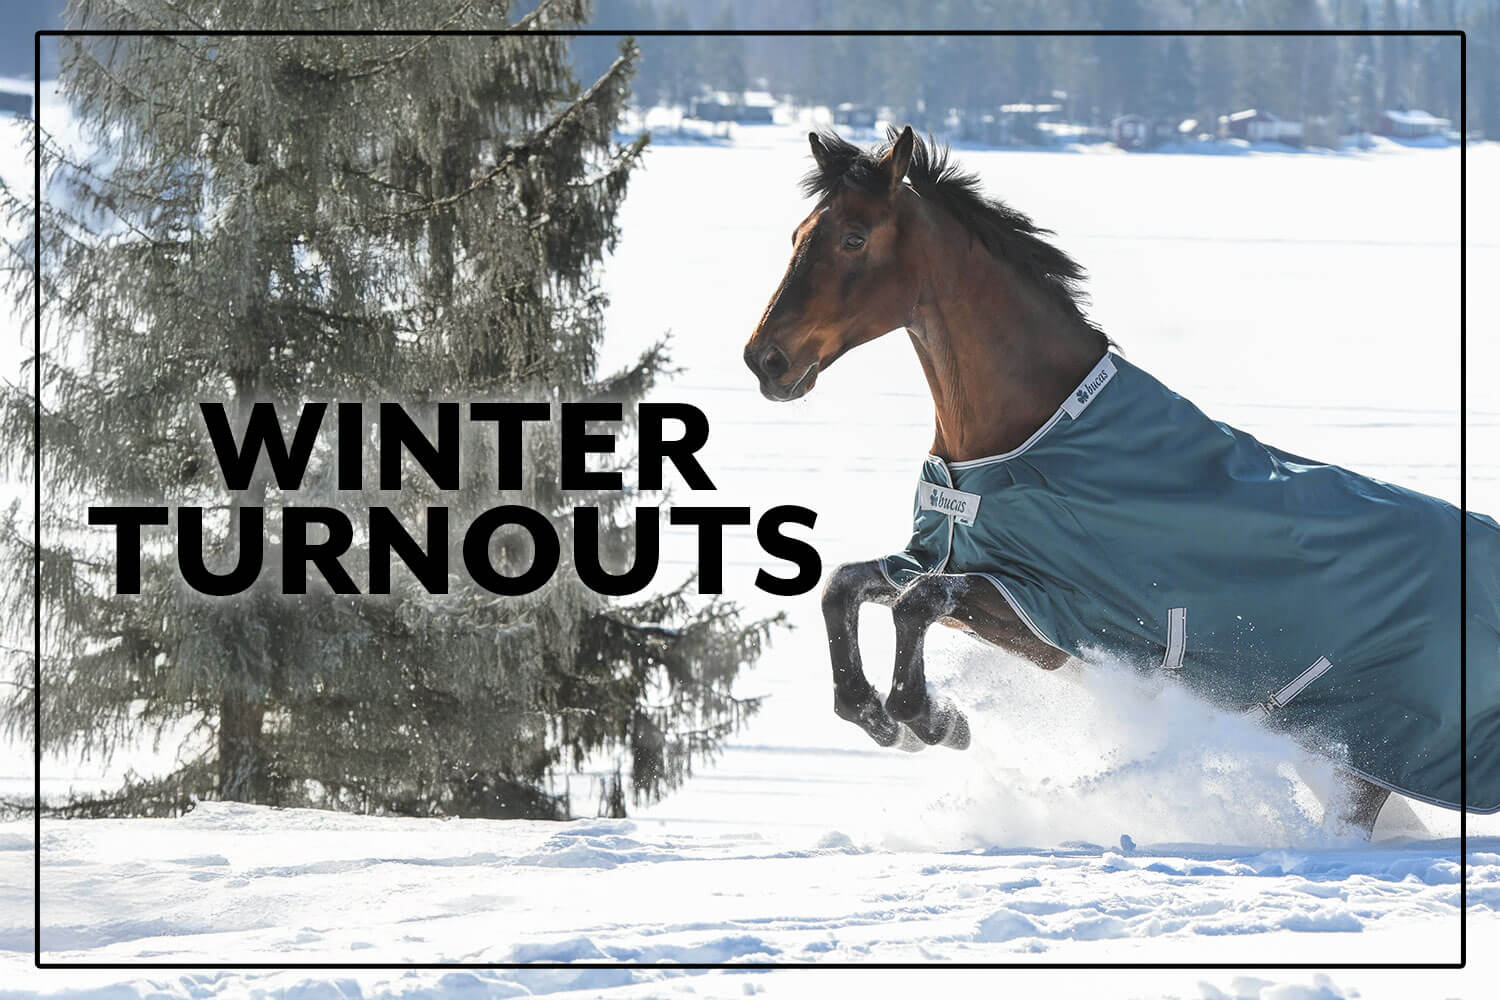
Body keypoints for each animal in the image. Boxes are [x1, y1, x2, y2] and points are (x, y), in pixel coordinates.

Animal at [743, 125, 1500, 837]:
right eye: (798, 234)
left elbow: (915, 605)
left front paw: (936, 721)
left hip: (1368, 764)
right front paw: (876, 715)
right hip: (1348, 762)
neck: (1024, 439)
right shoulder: (947, 562)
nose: (765, 361)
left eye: (852, 238)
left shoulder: (1045, 611)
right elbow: (844, 587)